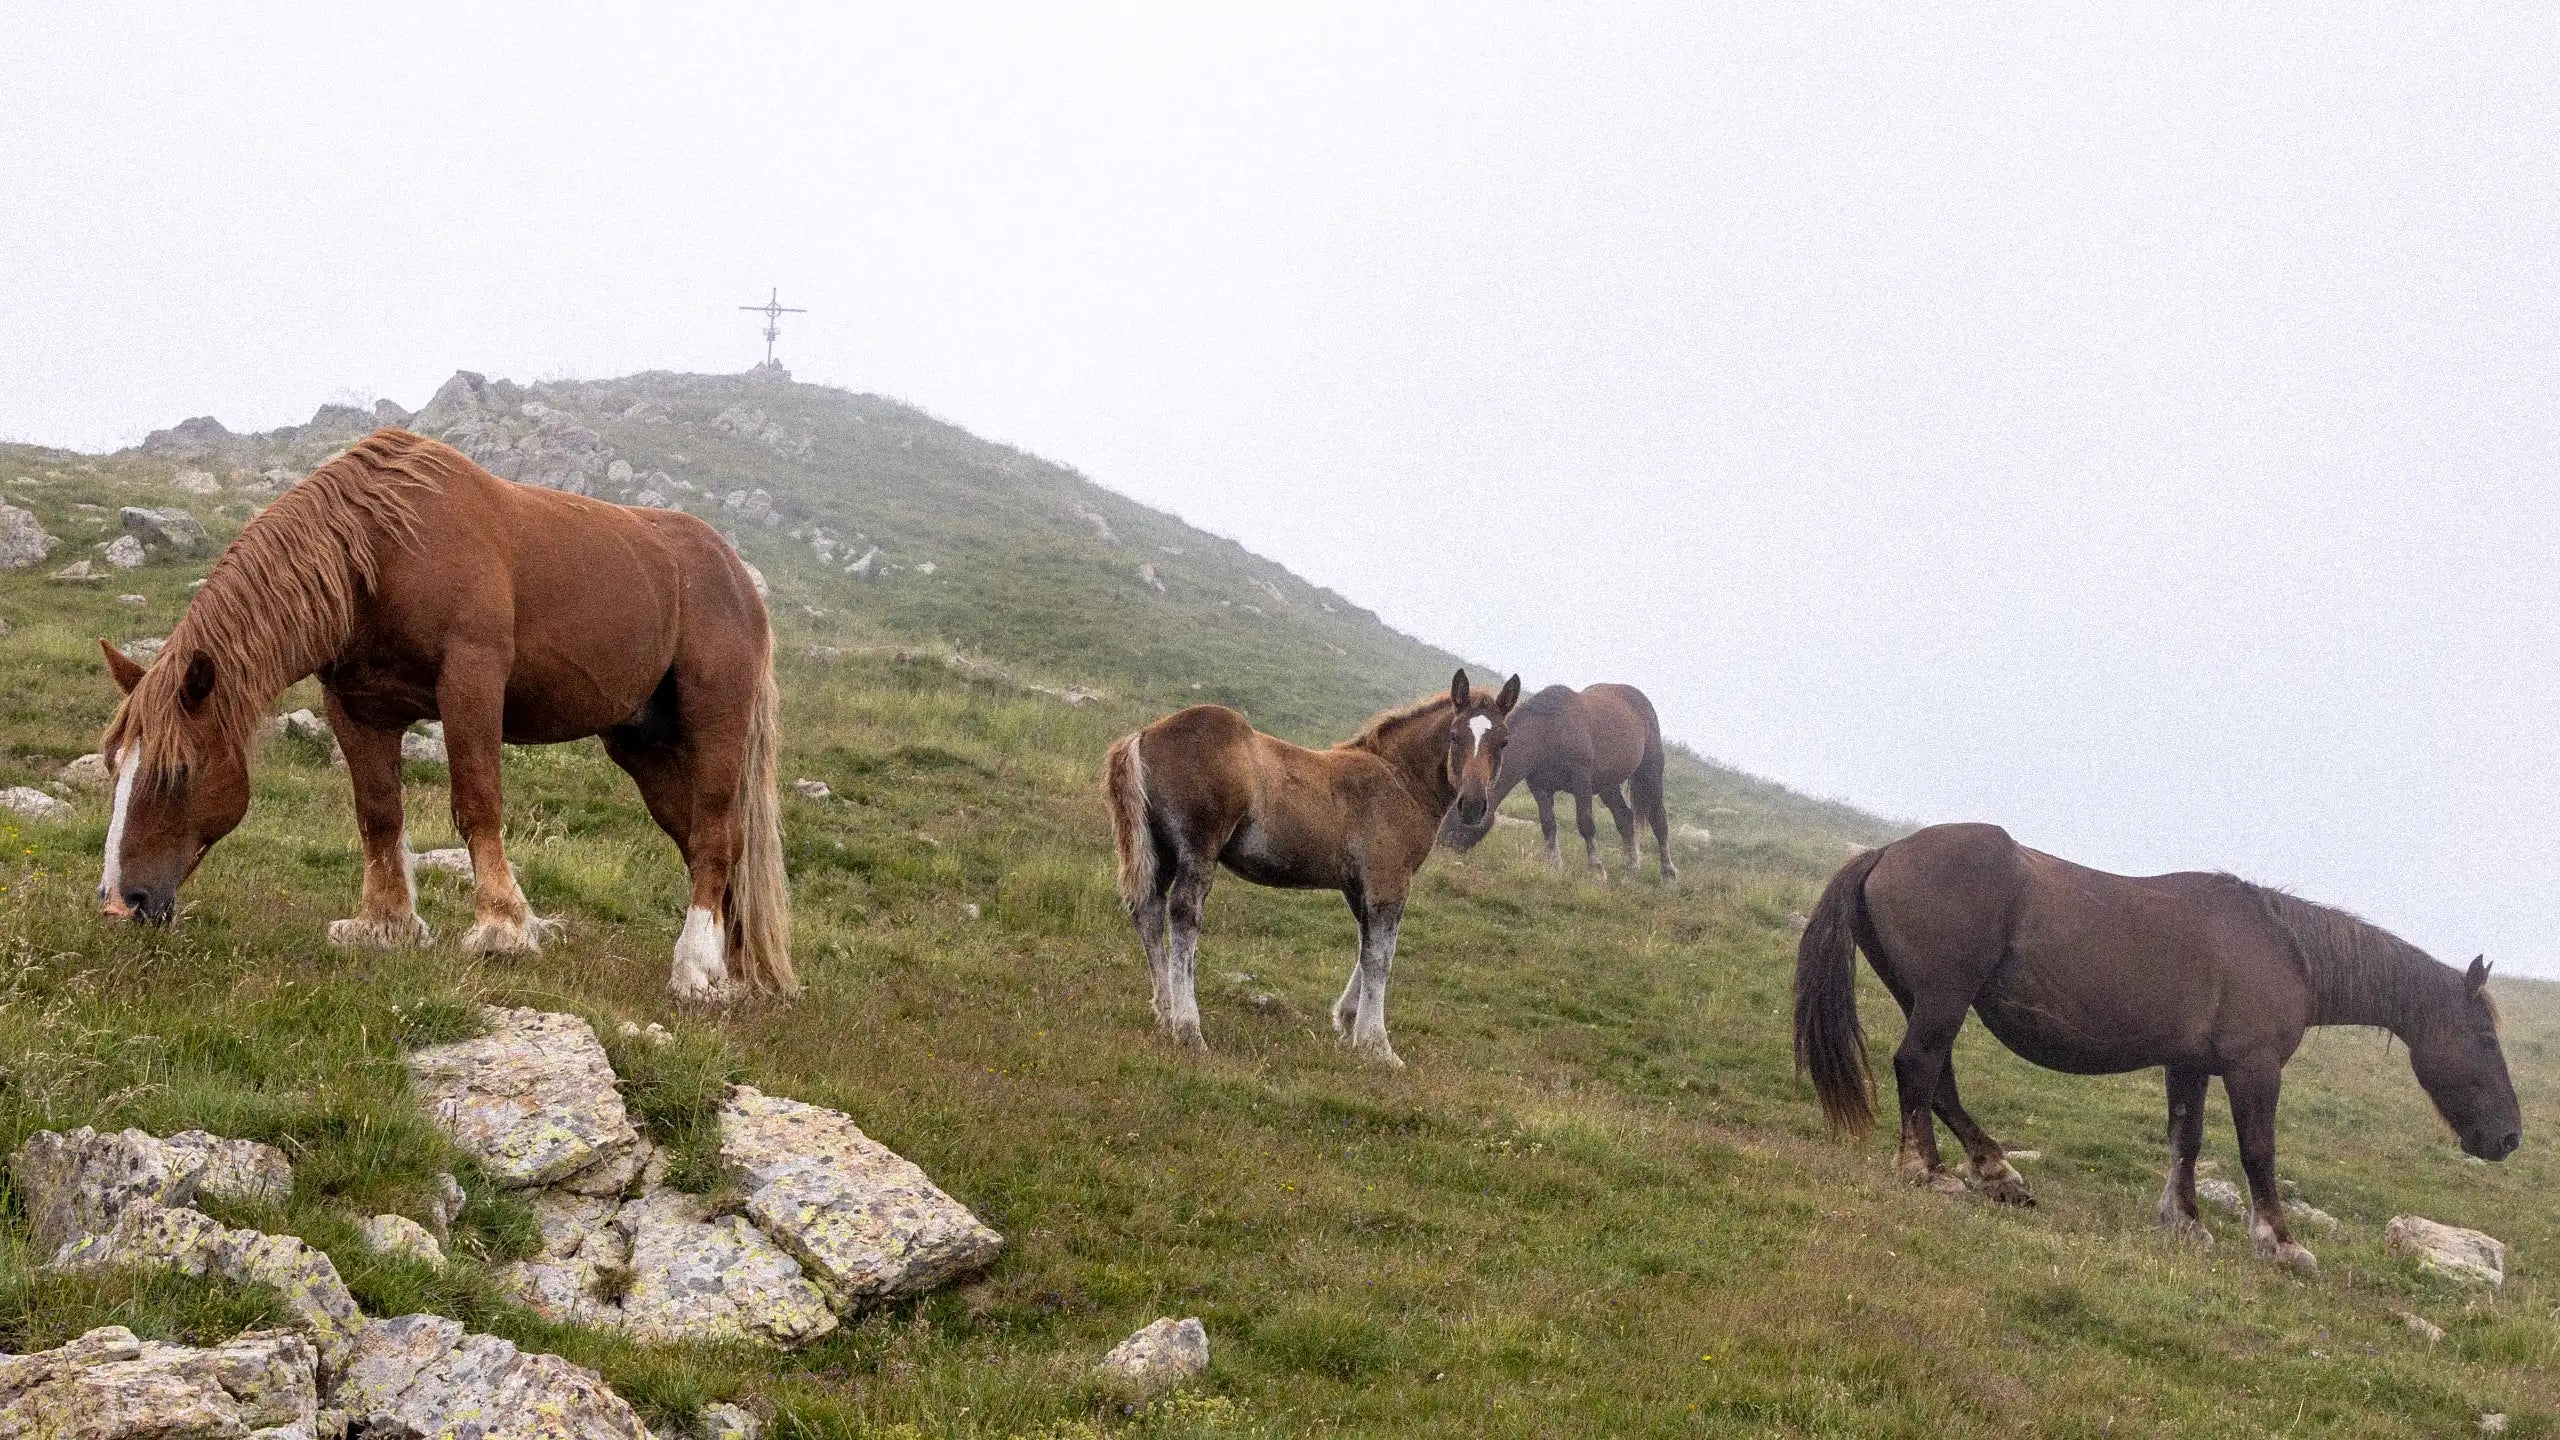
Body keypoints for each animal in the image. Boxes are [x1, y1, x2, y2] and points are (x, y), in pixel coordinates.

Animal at [95, 428, 795, 1002]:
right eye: (114, 769)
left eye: (178, 771)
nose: (120, 905)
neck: (380, 550)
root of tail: (738, 575)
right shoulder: (358, 710)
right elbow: (379, 814)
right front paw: (386, 924)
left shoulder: (471, 681)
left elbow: (477, 803)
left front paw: (502, 927)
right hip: (644, 746)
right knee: (713, 844)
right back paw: (734, 971)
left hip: (715, 722)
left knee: (714, 837)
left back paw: (695, 968)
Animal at [1103, 669, 1521, 1068]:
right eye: (1454, 735)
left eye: (1503, 741)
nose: (1473, 805)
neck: (1399, 779)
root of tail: (1144, 735)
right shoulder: (1389, 880)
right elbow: (1381, 957)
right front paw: (1378, 1046)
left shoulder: (1358, 886)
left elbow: (1366, 946)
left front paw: (1348, 1021)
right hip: (1197, 851)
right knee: (1183, 917)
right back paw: (1188, 1028)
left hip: (1160, 852)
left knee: (1148, 912)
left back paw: (1166, 1012)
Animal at [1437, 682, 1675, 881]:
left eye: (1460, 815)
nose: (1440, 847)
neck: (1547, 732)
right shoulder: (1540, 787)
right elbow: (1548, 825)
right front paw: (1554, 866)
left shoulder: (1581, 780)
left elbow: (1586, 823)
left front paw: (1596, 871)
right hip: (1608, 785)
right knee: (1625, 818)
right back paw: (1631, 869)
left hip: (1649, 773)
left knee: (1659, 821)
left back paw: (1668, 874)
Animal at [1794, 822, 2519, 1272]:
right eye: (2483, 1037)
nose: (2508, 1137)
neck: (2286, 950)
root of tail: (1887, 851)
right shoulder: (2253, 1068)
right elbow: (2258, 1152)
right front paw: (2281, 1243)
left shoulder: (2189, 1063)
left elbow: (2185, 1140)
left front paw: (2185, 1219)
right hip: (1943, 999)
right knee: (1918, 1067)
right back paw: (1927, 1170)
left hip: (1926, 1000)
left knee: (1938, 1079)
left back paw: (1995, 1172)